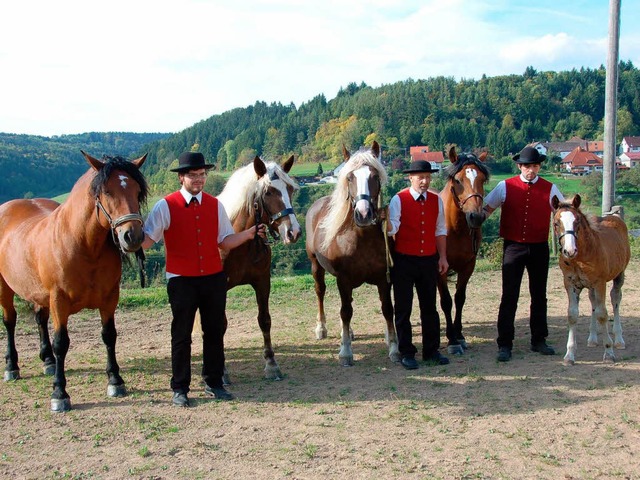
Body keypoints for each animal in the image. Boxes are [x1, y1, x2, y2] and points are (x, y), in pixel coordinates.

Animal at [0, 151, 148, 412]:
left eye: (137, 190)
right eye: (106, 191)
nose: (132, 236)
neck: (84, 245)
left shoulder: (109, 298)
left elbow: (109, 335)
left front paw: (115, 381)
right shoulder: (59, 301)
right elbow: (62, 342)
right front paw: (59, 393)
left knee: (40, 319)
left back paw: (48, 361)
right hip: (5, 288)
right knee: (10, 322)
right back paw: (12, 367)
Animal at [216, 156, 302, 380]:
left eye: (290, 189)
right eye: (268, 192)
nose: (294, 232)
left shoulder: (262, 282)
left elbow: (264, 320)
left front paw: (271, 364)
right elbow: (219, 325)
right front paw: (221, 371)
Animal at [304, 141, 400, 366]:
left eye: (374, 176)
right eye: (350, 177)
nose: (363, 214)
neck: (361, 238)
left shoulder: (384, 279)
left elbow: (387, 309)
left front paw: (393, 347)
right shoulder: (344, 279)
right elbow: (345, 311)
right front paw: (346, 352)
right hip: (316, 266)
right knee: (321, 292)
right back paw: (322, 328)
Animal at [436, 148, 490, 354]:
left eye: (482, 179)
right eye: (458, 180)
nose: (476, 217)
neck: (455, 228)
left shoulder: (468, 266)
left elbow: (460, 298)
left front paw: (459, 335)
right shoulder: (439, 270)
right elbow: (446, 301)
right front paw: (452, 341)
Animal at [552, 194, 632, 364]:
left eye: (577, 221)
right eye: (556, 223)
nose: (569, 251)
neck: (580, 258)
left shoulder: (600, 283)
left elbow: (603, 314)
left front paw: (608, 352)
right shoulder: (570, 284)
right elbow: (572, 315)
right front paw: (569, 355)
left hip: (619, 275)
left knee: (615, 299)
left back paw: (619, 339)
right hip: (590, 286)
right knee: (593, 301)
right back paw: (593, 339)